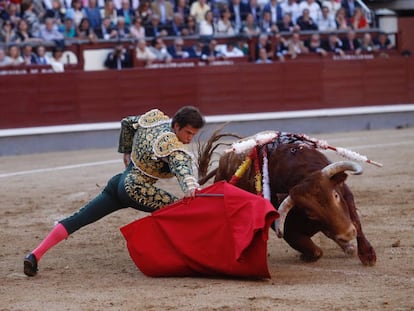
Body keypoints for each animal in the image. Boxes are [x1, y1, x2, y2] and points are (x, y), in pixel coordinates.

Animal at [199, 133, 376, 266]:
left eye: (336, 196)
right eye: (310, 213)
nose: (346, 234)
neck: (302, 173)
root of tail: (221, 167)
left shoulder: (346, 196)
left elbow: (356, 223)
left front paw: (367, 255)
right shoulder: (285, 229)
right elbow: (316, 251)